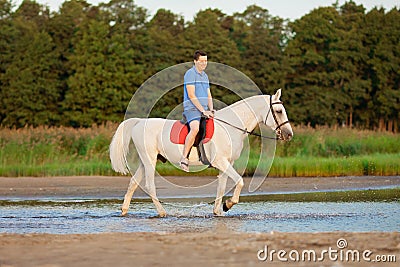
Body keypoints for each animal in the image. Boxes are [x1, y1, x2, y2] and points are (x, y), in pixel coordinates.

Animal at [111, 89, 292, 218]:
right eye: (279, 111)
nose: (289, 134)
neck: (231, 126)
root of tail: (139, 122)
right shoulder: (220, 161)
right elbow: (239, 181)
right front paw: (228, 204)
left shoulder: (227, 163)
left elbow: (221, 187)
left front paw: (218, 211)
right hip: (149, 160)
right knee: (149, 185)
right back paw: (162, 212)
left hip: (146, 161)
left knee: (133, 183)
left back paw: (124, 211)